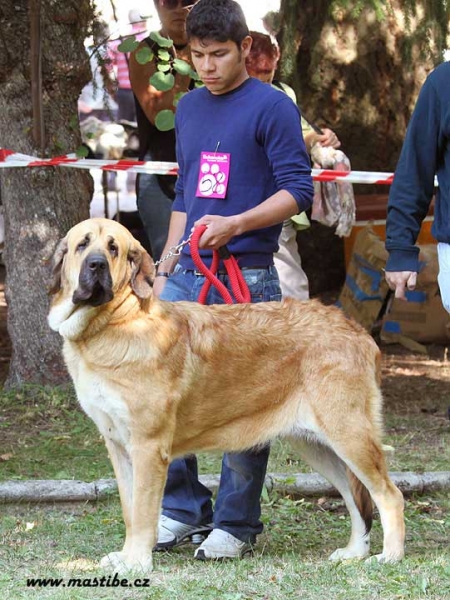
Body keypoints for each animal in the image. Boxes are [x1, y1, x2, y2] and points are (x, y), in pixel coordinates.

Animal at [47, 219, 406, 572]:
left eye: (113, 249)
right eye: (82, 245)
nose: (96, 264)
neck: (113, 322)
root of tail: (356, 330)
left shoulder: (148, 447)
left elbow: (144, 512)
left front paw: (136, 562)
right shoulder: (120, 447)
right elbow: (130, 511)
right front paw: (126, 556)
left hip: (349, 436)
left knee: (389, 495)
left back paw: (390, 555)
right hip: (318, 445)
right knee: (355, 498)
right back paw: (355, 552)